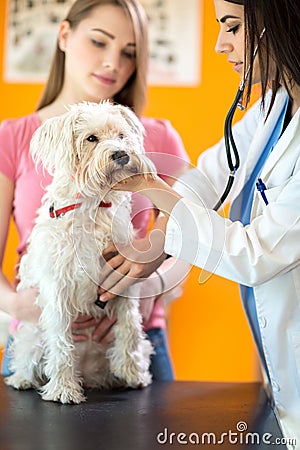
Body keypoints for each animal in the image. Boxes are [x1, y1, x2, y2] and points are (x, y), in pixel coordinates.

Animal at [5, 101, 157, 404]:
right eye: (91, 138)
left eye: (121, 135)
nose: (121, 154)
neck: (94, 205)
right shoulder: (57, 288)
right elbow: (61, 342)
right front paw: (63, 389)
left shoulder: (124, 279)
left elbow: (130, 328)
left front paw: (132, 371)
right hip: (31, 338)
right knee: (28, 358)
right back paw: (24, 379)